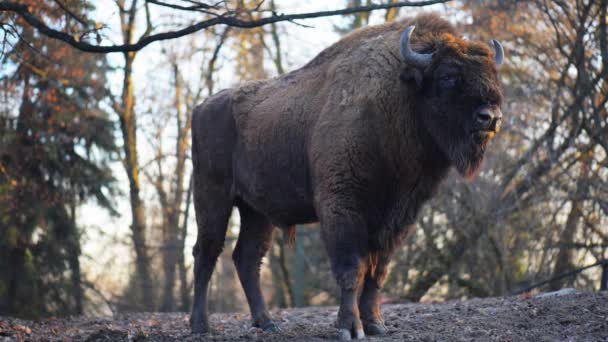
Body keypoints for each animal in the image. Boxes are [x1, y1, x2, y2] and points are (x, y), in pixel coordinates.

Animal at [190, 12, 504, 340]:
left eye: (493, 76)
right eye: (448, 76)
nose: (491, 117)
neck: (397, 100)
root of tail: (201, 107)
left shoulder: (397, 217)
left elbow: (377, 272)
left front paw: (376, 324)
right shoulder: (343, 207)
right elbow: (353, 268)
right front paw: (350, 327)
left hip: (256, 212)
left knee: (247, 258)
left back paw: (267, 322)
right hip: (212, 197)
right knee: (206, 253)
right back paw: (200, 325)